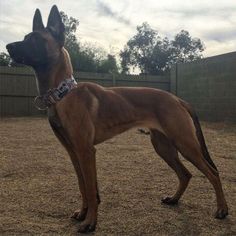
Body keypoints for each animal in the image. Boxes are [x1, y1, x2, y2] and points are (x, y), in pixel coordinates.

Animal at [6, 5, 229, 232]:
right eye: (25, 37)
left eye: (35, 39)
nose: (8, 46)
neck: (63, 94)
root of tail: (178, 99)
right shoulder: (73, 152)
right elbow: (83, 186)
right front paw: (83, 214)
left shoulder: (86, 151)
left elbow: (90, 189)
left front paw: (90, 222)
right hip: (164, 147)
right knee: (185, 174)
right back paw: (174, 199)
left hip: (185, 144)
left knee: (213, 173)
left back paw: (222, 210)